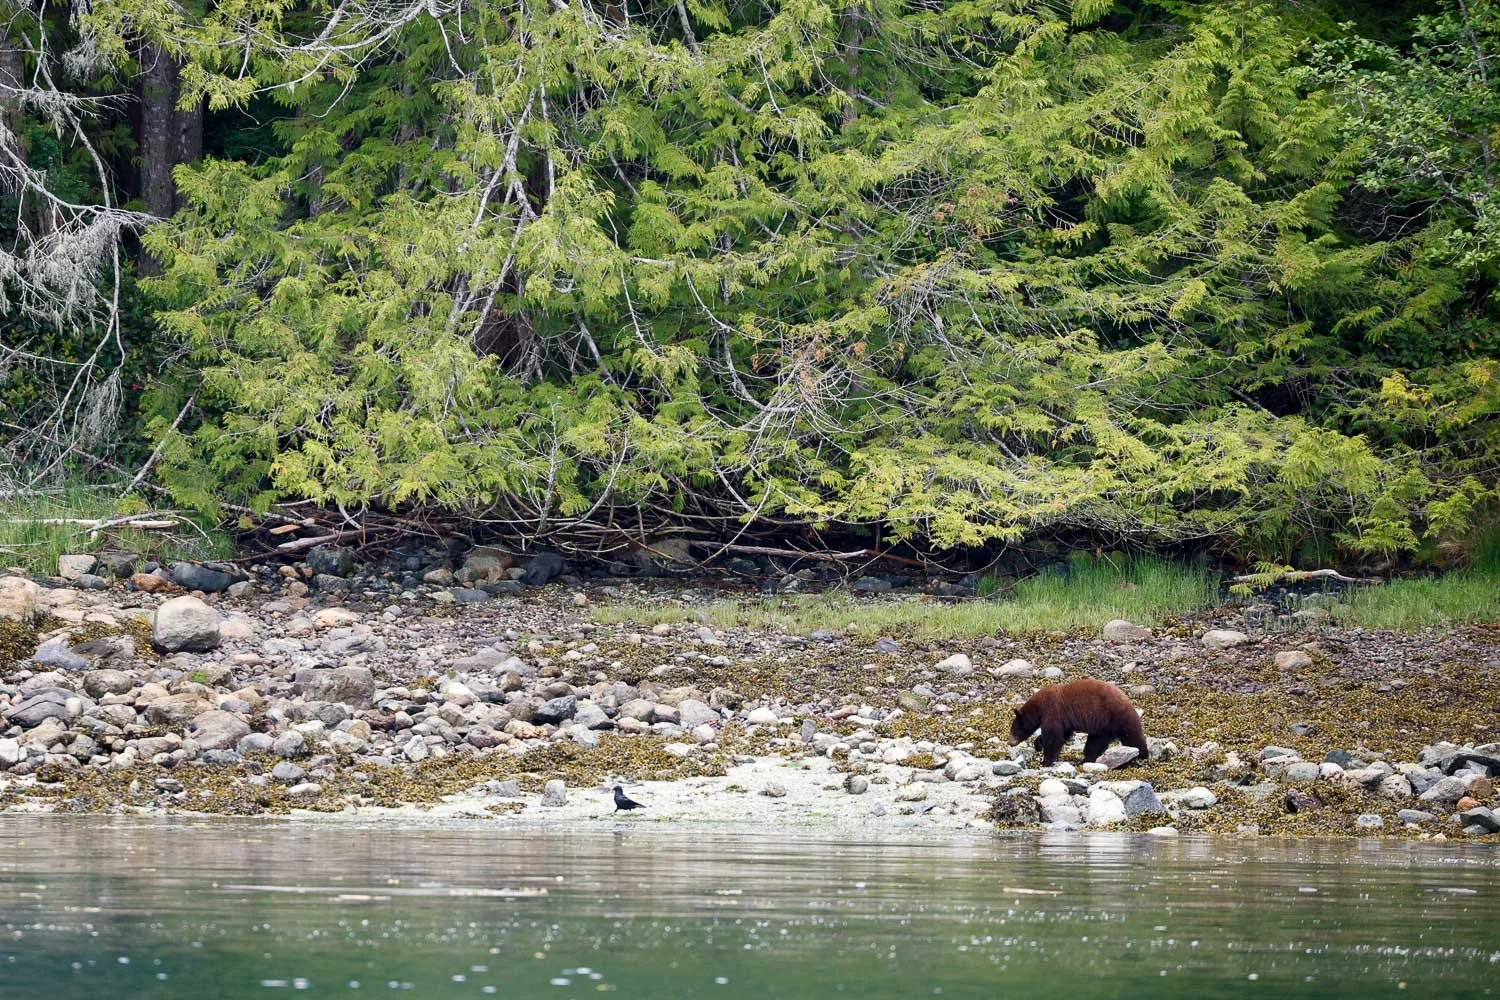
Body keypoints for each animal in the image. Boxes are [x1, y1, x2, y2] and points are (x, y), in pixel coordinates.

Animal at [1008, 679, 1148, 767]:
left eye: (1013, 731)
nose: (1010, 743)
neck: (1038, 708)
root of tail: (1127, 700)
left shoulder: (1052, 710)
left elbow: (1054, 737)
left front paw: (1045, 761)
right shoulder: (1063, 719)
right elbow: (1063, 734)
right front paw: (1038, 744)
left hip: (1116, 717)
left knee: (1132, 737)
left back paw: (1142, 756)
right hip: (1102, 727)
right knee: (1095, 743)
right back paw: (1085, 760)